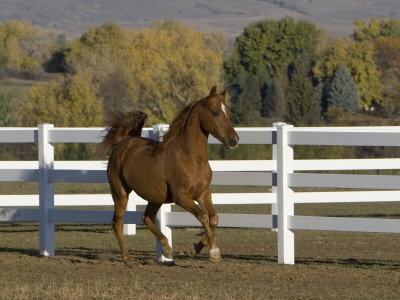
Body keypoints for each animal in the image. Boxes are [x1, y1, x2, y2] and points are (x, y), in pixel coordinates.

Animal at [98, 85, 239, 266]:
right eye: (215, 112)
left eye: (227, 111)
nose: (233, 140)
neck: (191, 159)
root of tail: (122, 143)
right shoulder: (181, 196)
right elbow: (202, 216)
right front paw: (214, 252)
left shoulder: (203, 193)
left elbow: (214, 218)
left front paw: (196, 248)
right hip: (120, 193)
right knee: (118, 223)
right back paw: (128, 258)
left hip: (155, 197)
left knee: (147, 218)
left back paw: (166, 248)